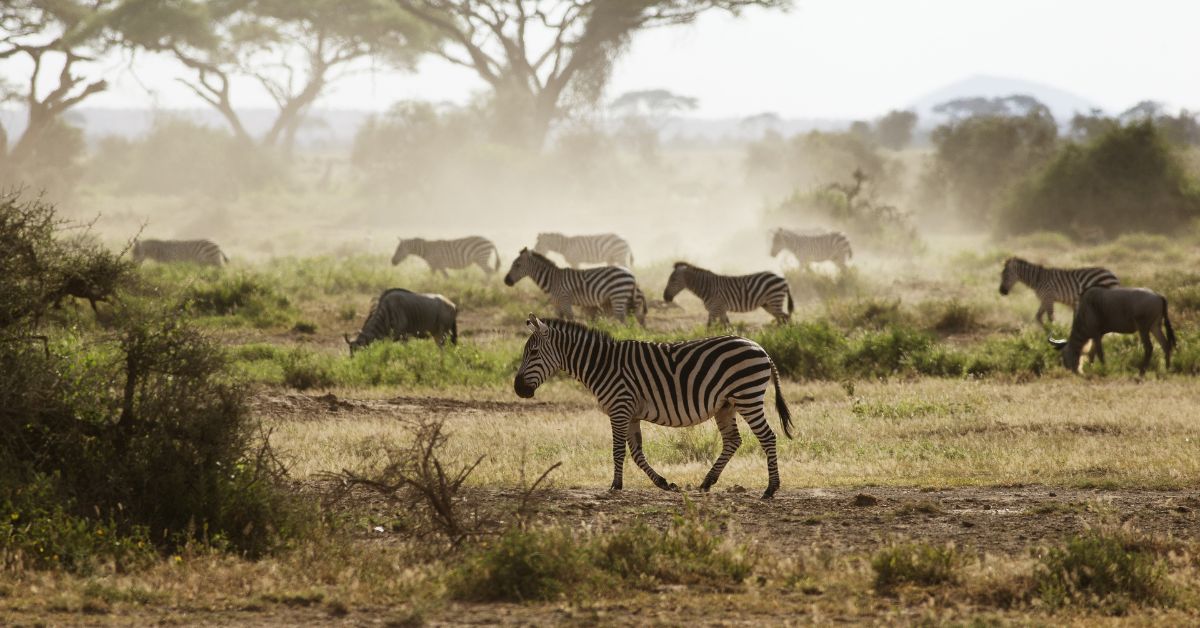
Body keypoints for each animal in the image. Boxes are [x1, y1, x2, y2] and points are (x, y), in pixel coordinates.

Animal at [501, 247, 643, 324]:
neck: (552, 280)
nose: (506, 281)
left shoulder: (565, 300)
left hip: (618, 295)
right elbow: (559, 319)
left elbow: (571, 318)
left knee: (622, 318)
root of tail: (632, 275)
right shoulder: (557, 304)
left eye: (517, 265)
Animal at [511, 317, 792, 499]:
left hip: (748, 396)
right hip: (726, 405)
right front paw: (664, 483)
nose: (518, 389)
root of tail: (761, 348)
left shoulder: (620, 408)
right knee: (733, 440)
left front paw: (615, 486)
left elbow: (618, 451)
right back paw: (707, 482)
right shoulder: (630, 413)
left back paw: (770, 489)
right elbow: (636, 453)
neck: (601, 365)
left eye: (533, 353)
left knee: (767, 437)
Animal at [662, 262, 792, 326]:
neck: (708, 288)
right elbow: (727, 327)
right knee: (782, 319)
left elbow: (709, 327)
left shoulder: (715, 310)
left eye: (673, 280)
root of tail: (782, 279)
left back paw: (785, 336)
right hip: (768, 304)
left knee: (785, 317)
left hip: (774, 300)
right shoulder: (721, 310)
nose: (665, 297)